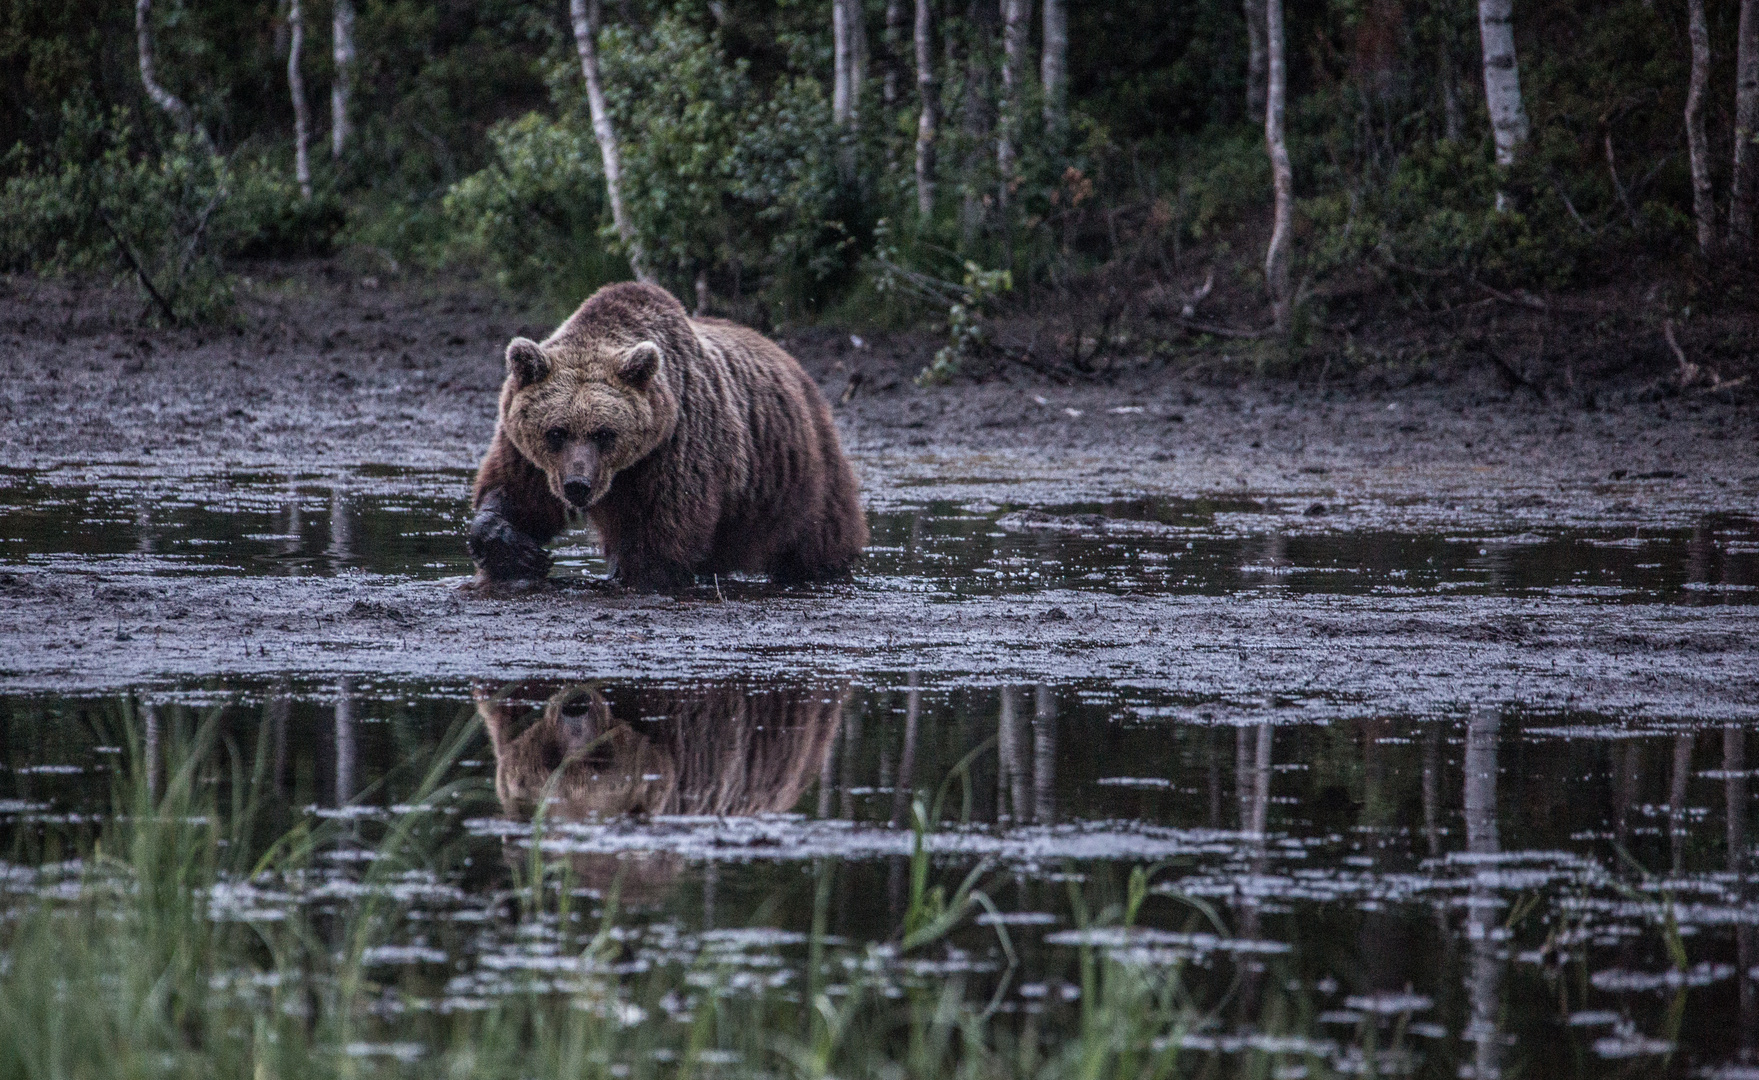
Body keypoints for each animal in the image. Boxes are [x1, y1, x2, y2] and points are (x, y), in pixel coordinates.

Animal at [467, 283, 865, 587]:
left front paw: (635, 574)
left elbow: (663, 533)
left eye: (604, 433)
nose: (577, 485)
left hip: (797, 476)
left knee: (818, 535)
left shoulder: (675, 446)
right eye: (556, 431)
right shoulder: (529, 453)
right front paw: (519, 551)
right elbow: (516, 494)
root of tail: (795, 365)